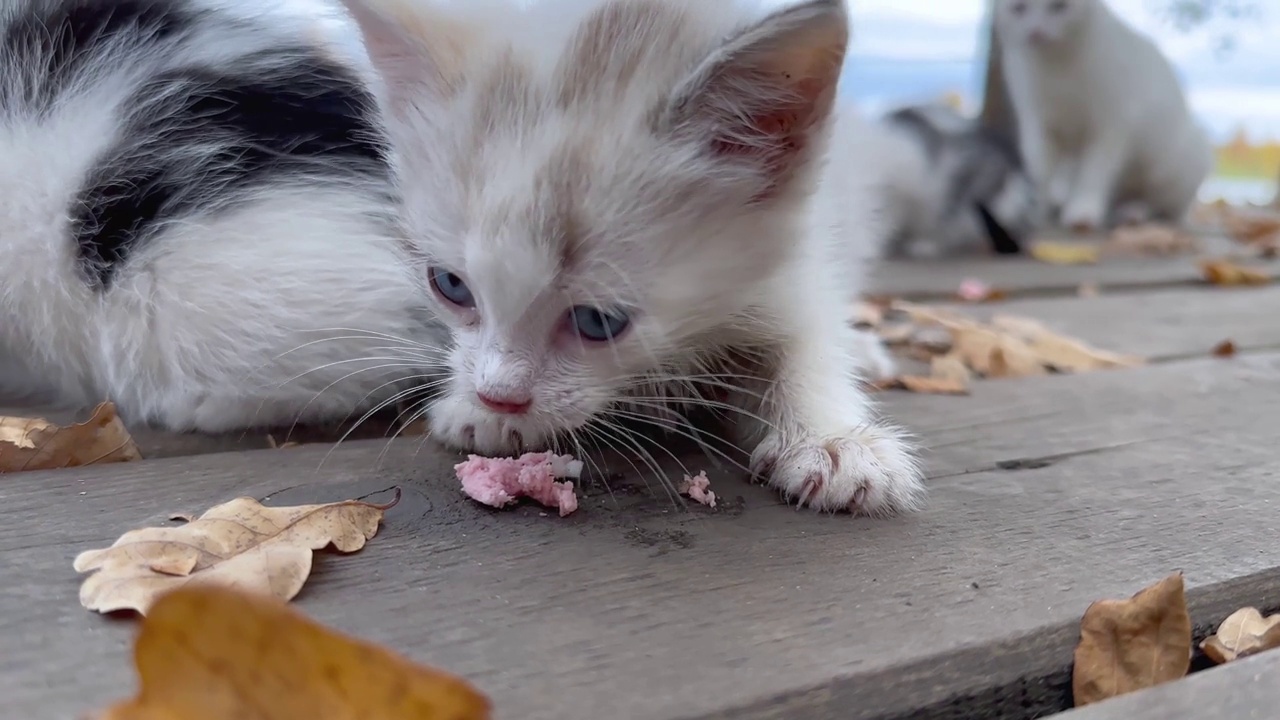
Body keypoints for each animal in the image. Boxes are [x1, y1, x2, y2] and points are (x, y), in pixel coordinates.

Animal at [335, 0, 926, 515]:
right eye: (449, 285)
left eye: (599, 322)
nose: (498, 396)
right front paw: (472, 407)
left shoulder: (799, 258)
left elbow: (805, 341)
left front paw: (834, 440)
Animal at [993, 0, 1213, 230]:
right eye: (1019, 8)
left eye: (1059, 6)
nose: (1036, 32)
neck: (1056, 70)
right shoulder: (1036, 124)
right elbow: (1041, 171)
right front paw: (1036, 210)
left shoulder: (1111, 124)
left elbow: (1094, 171)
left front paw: (1082, 211)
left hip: (1176, 166)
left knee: (1166, 209)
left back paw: (1136, 211)